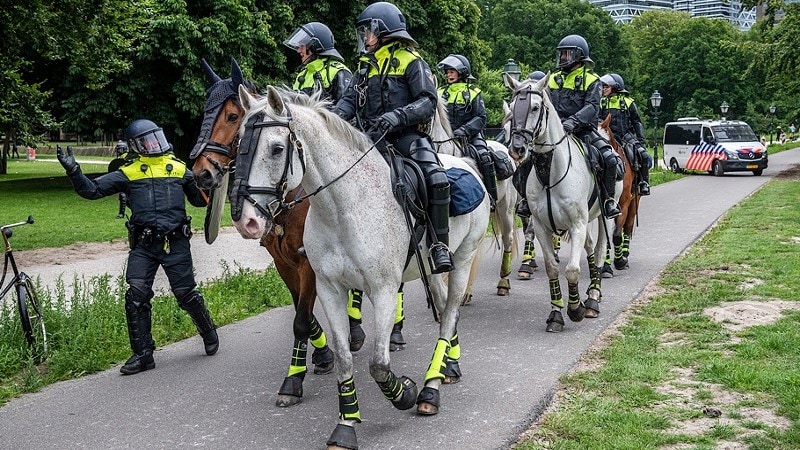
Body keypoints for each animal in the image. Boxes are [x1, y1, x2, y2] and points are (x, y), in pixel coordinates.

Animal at [192, 59, 374, 408]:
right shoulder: (284, 263)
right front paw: (322, 356)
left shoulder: (309, 265)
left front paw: (293, 380)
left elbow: (301, 319)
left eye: (231, 117)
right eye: (204, 111)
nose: (201, 174)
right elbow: (303, 314)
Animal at [231, 86, 490, 448]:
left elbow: (379, 364)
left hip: (463, 259)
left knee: (450, 313)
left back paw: (430, 390)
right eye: (239, 143)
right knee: (443, 311)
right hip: (432, 271)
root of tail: (464, 163)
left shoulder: (383, 290)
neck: (344, 207)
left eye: (277, 148)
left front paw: (404, 394)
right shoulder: (328, 288)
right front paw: (346, 423)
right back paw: (449, 367)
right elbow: (343, 358)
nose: (247, 221)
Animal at [506, 74, 620, 332]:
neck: (551, 172)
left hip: (604, 216)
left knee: (599, 251)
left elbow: (572, 270)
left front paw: (576, 308)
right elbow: (552, 269)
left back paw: (593, 299)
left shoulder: (577, 224)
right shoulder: (541, 227)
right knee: (589, 248)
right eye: (513, 107)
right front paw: (556, 313)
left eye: (535, 107)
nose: (517, 148)